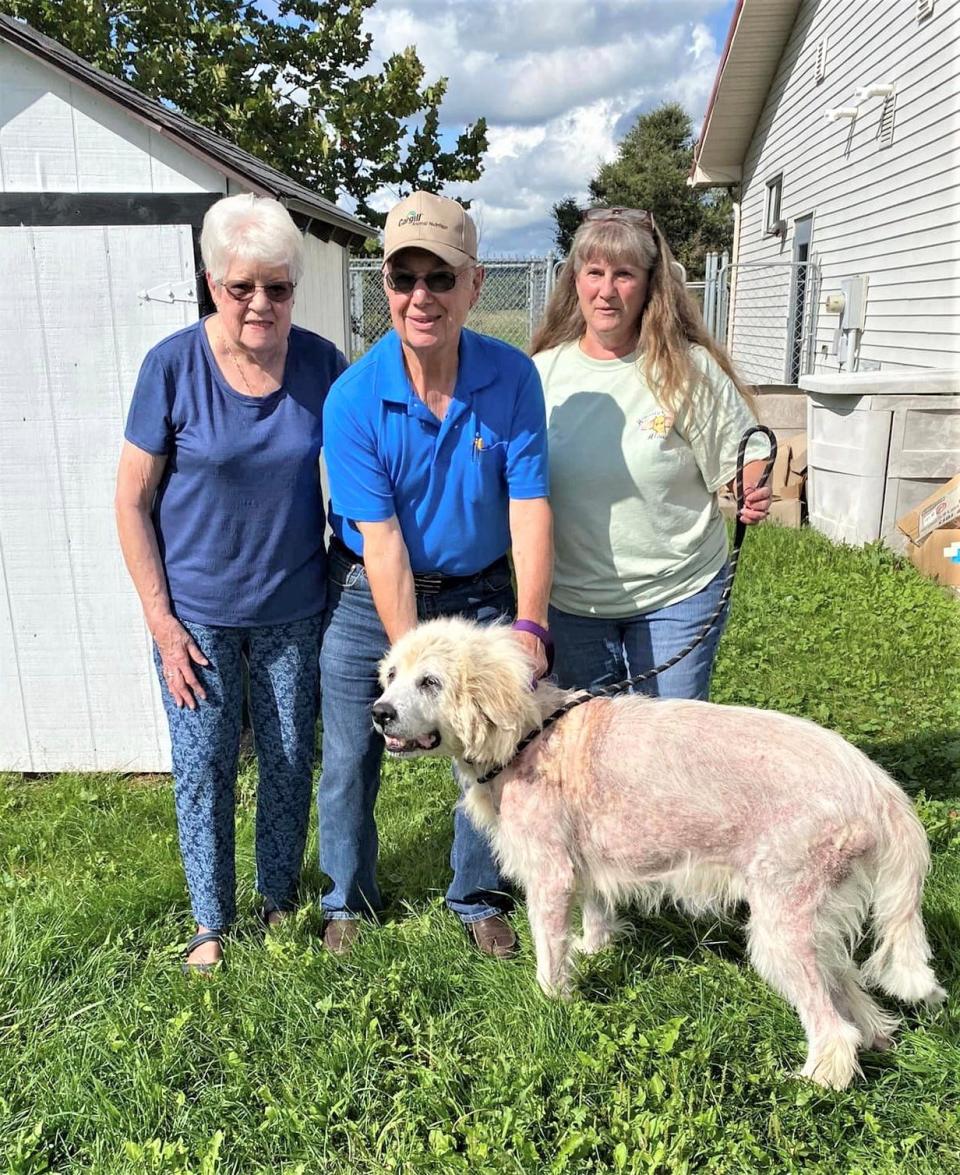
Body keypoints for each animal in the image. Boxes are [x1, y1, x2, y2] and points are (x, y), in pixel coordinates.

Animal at [373, 620, 944, 1085]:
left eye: (430, 682)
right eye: (392, 675)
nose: (379, 713)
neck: (529, 733)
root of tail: (875, 784)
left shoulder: (550, 877)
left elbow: (550, 953)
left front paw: (552, 1002)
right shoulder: (587, 867)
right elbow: (596, 916)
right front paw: (594, 950)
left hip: (782, 929)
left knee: (832, 1026)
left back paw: (818, 1079)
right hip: (815, 923)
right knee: (852, 994)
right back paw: (876, 1037)